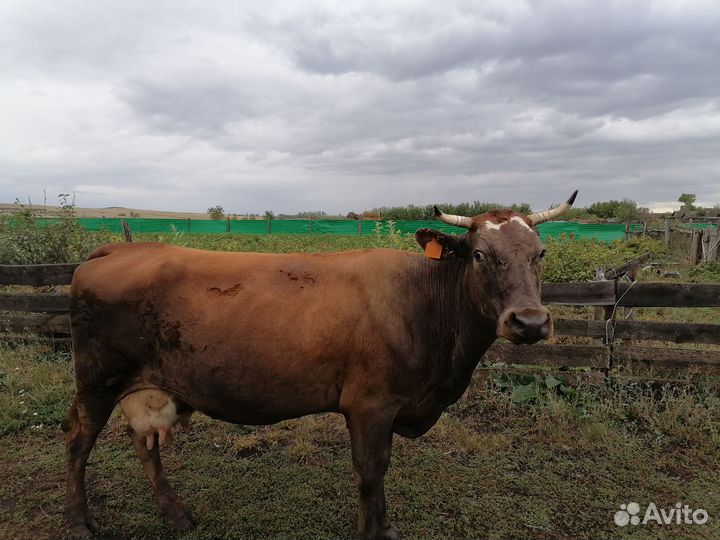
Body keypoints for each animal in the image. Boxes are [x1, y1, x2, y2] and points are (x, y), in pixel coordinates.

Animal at [63, 191, 577, 540]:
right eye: (479, 254)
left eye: (540, 254)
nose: (530, 321)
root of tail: (119, 249)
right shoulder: (370, 405)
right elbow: (371, 471)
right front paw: (375, 532)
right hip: (97, 378)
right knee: (78, 440)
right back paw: (80, 520)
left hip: (147, 385)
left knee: (145, 443)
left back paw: (175, 513)